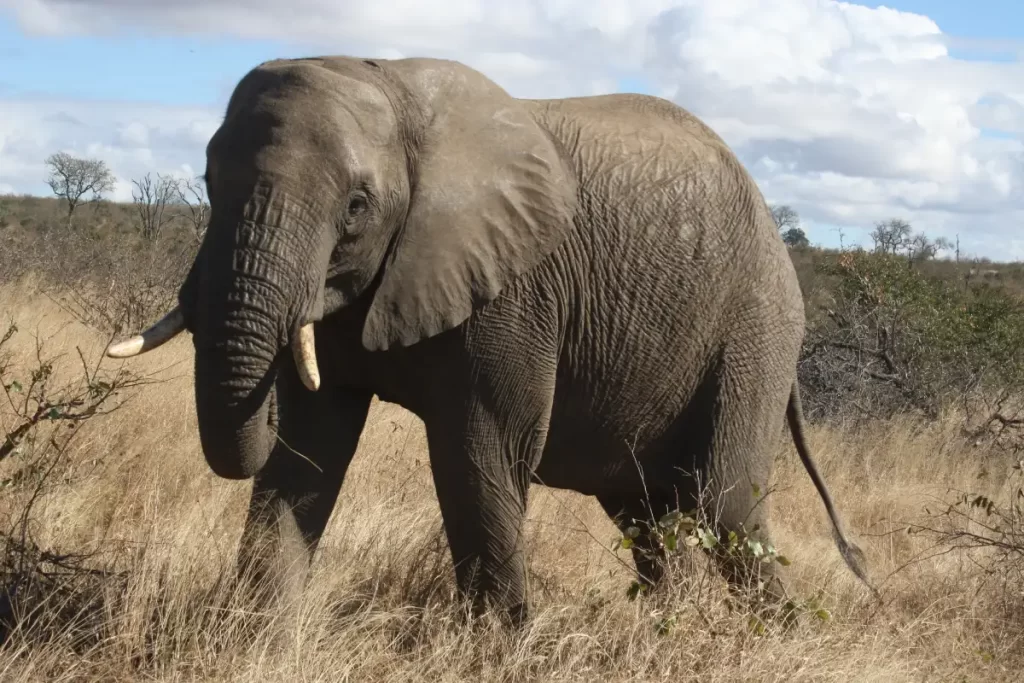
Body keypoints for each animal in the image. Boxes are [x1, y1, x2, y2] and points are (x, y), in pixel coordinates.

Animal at [105, 54, 872, 626]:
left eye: (356, 206)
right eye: (208, 179)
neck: (393, 89)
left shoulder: (516, 293)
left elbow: (480, 455)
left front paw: (497, 646)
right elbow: (308, 449)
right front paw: (257, 632)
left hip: (756, 331)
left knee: (727, 506)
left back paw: (780, 635)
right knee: (646, 515)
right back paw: (670, 626)